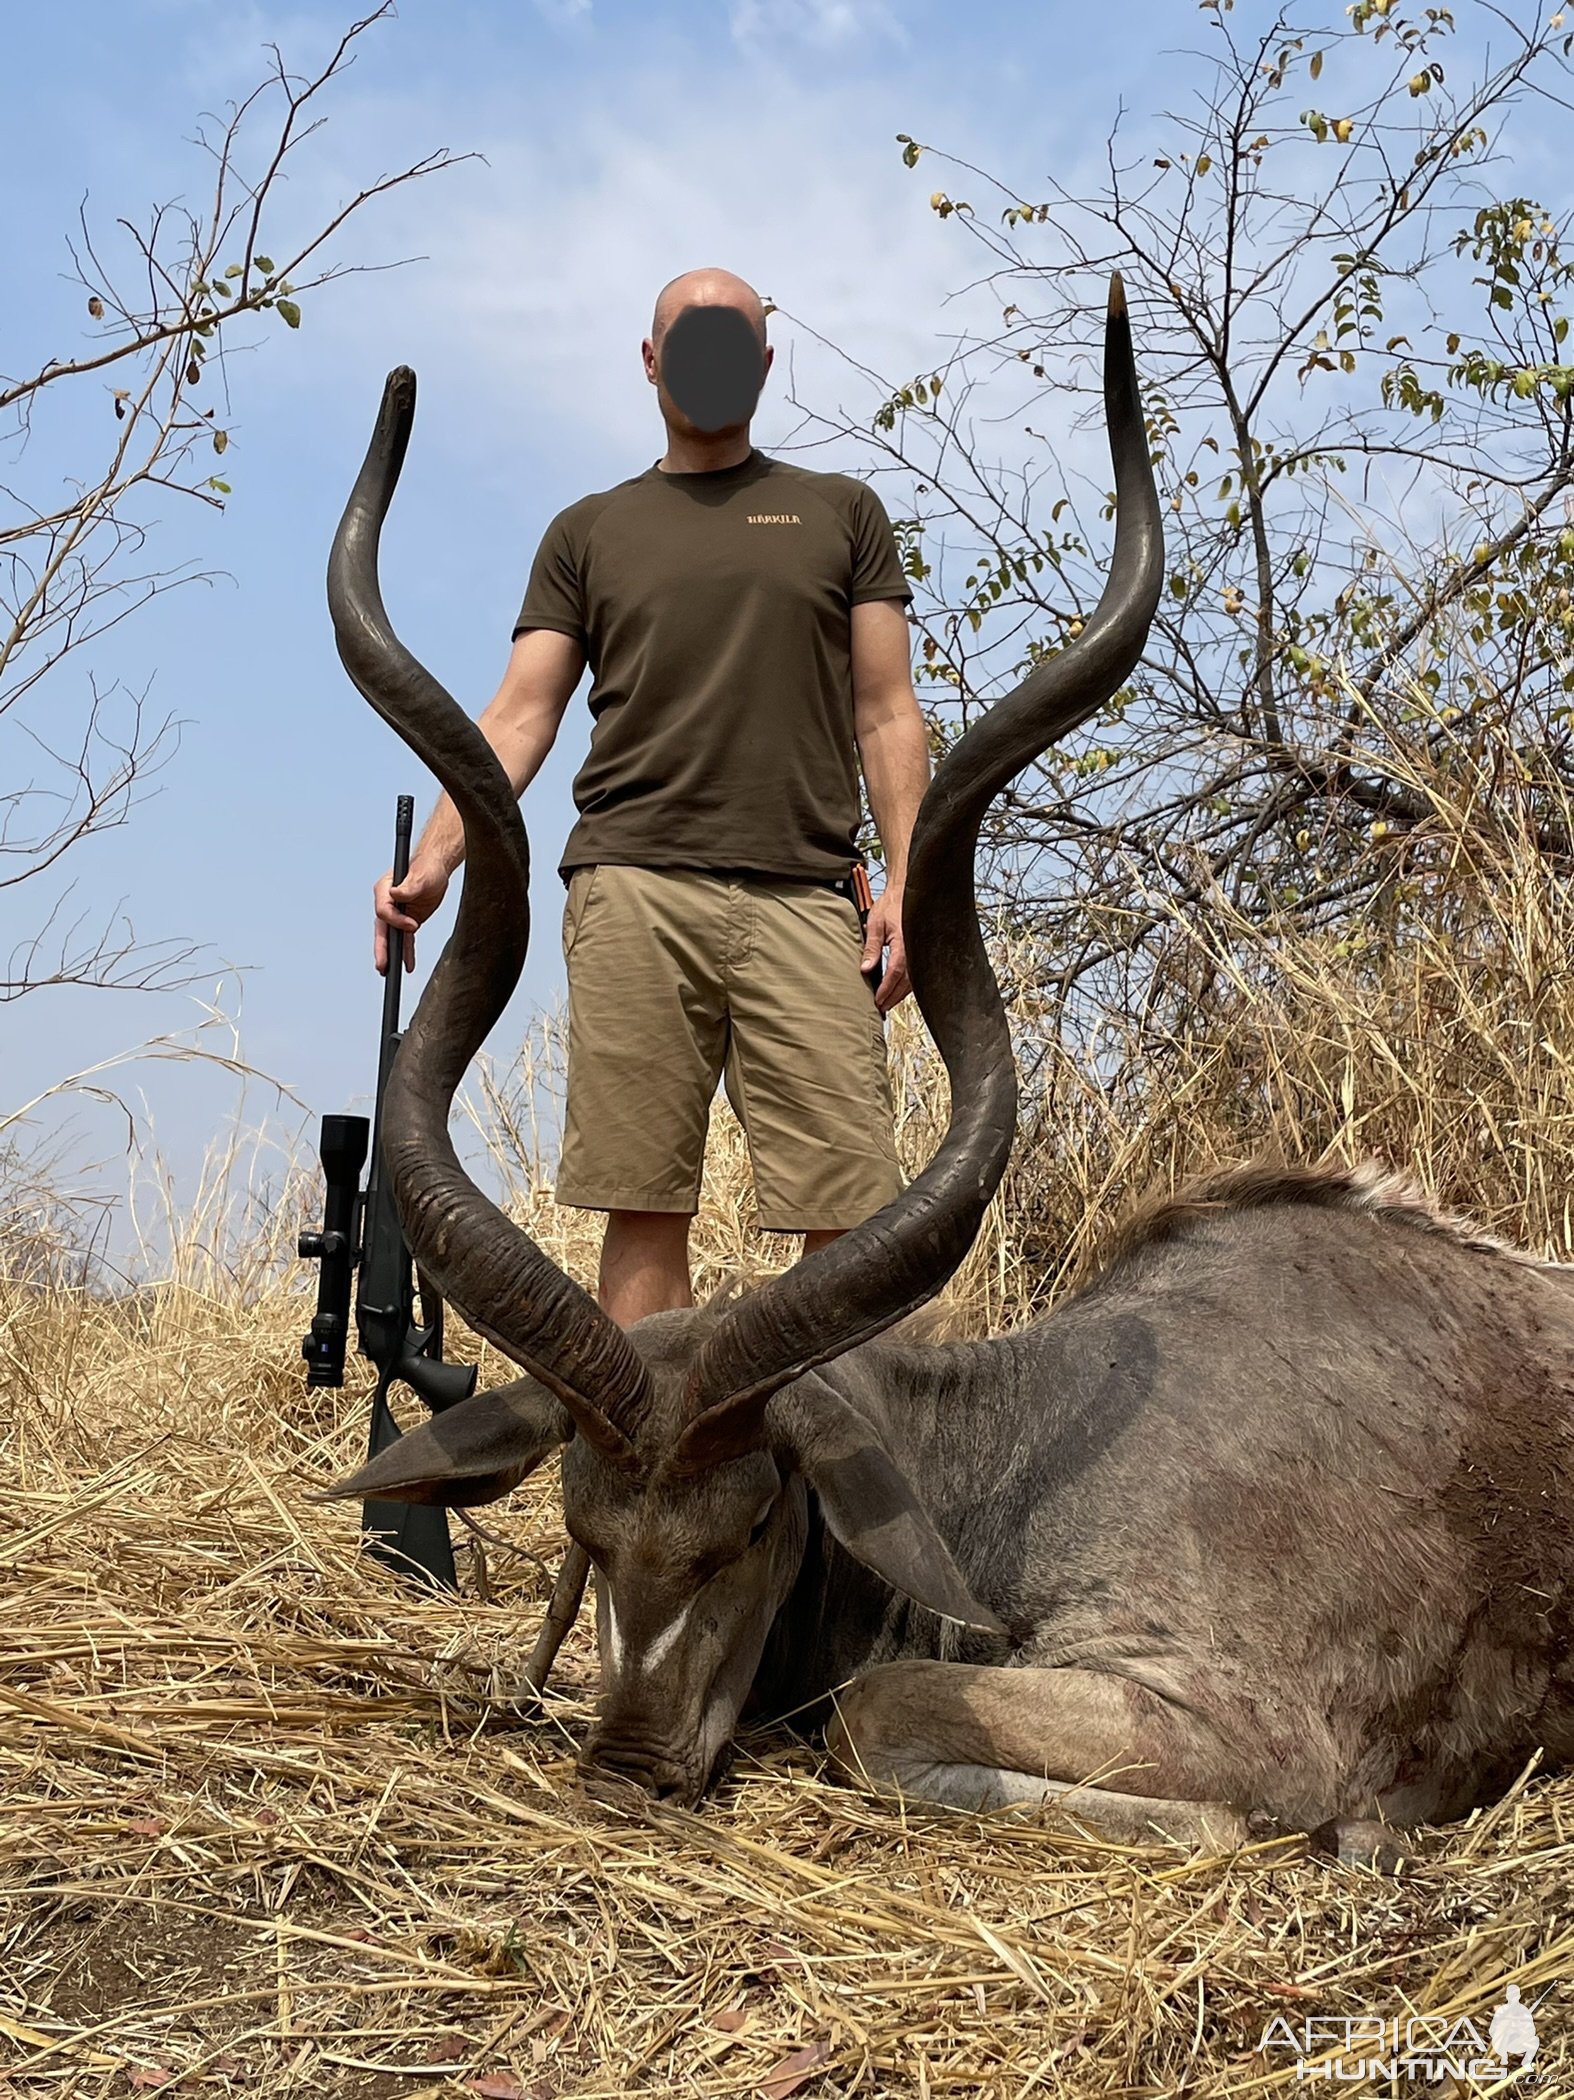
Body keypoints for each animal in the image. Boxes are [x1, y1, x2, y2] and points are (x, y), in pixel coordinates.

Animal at [323, 283, 1574, 1873]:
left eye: (748, 1530)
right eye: (583, 1534)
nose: (629, 1767)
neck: (1013, 1454)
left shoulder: (1236, 1714)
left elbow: (878, 1718)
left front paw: (1324, 1835)